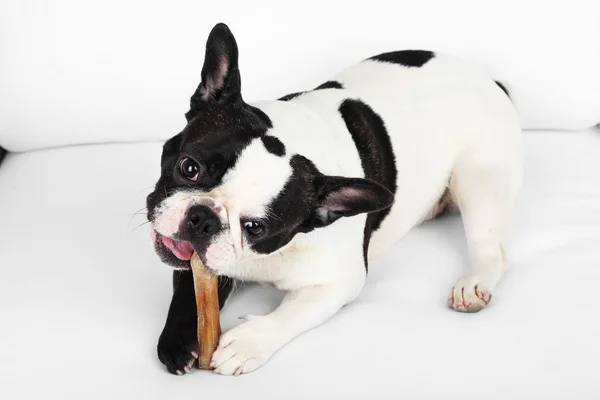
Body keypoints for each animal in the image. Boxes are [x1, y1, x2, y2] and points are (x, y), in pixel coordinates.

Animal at [145, 24, 520, 376]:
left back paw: (473, 285)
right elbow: (188, 293)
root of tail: (491, 81)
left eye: (255, 227)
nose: (202, 219)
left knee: (491, 248)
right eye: (189, 167)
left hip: (479, 180)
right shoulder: (196, 264)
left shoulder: (338, 282)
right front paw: (179, 339)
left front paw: (250, 341)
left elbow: (292, 312)